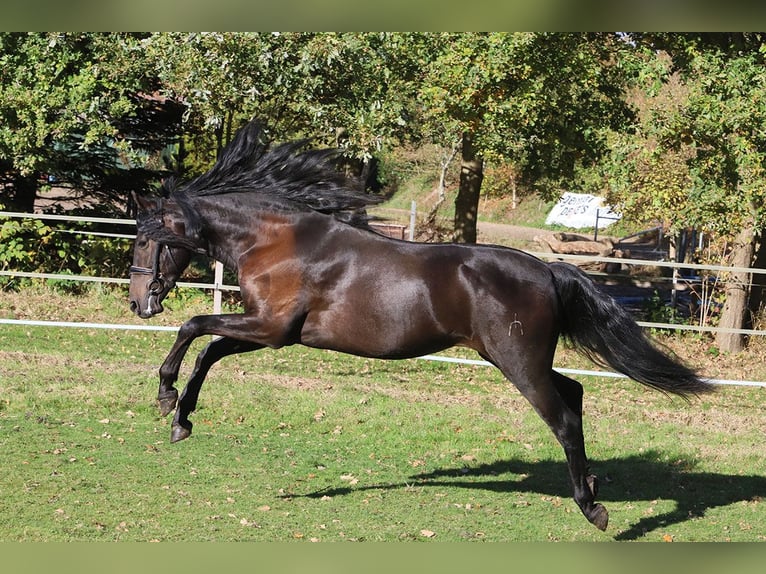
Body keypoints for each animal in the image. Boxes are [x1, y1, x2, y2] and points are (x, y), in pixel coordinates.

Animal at [128, 119, 712, 531]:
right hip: (520, 359)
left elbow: (193, 327)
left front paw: (165, 396)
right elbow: (209, 349)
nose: (139, 303)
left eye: (146, 239)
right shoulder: (273, 333)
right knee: (576, 393)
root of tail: (548, 269)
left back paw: (592, 509)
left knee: (564, 418)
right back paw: (591, 483)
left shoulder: (269, 328)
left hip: (518, 363)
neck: (276, 243)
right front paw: (181, 418)